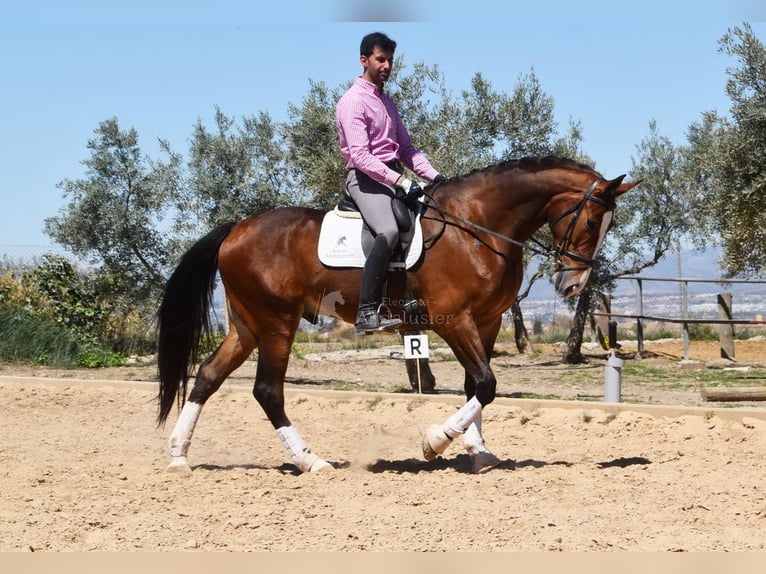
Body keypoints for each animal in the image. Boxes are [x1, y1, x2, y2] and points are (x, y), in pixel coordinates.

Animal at [156, 158, 636, 476]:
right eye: (590, 221)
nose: (572, 285)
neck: (477, 226)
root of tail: (235, 230)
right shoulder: (453, 319)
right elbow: (485, 384)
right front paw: (435, 442)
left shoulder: (486, 321)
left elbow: (475, 387)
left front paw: (479, 453)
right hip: (276, 324)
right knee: (268, 391)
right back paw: (313, 461)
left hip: (246, 325)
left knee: (208, 375)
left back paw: (179, 456)